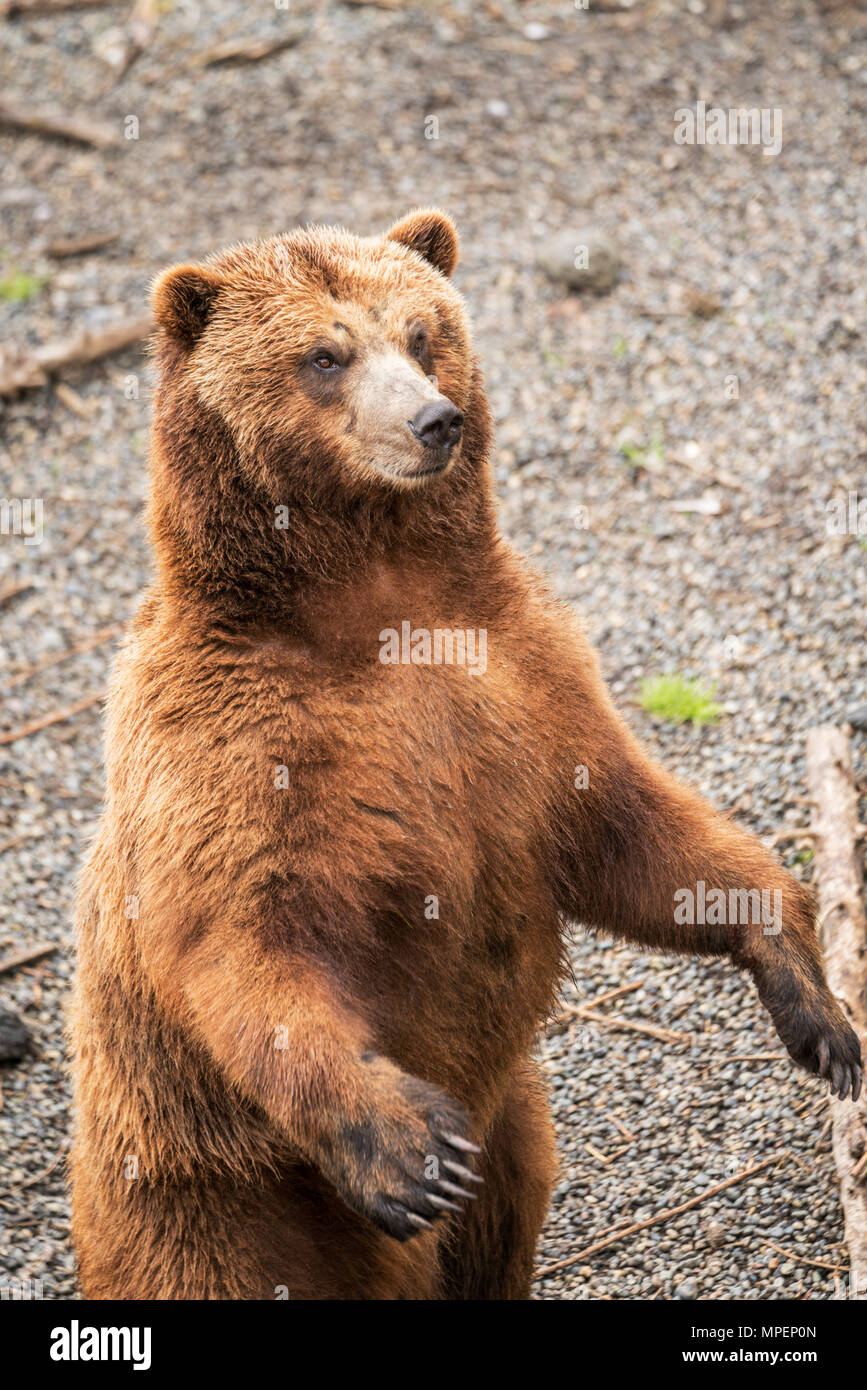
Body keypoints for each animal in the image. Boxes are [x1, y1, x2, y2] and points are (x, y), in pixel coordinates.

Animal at [71, 211, 861, 1295]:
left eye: (420, 333)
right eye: (324, 354)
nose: (432, 421)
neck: (377, 603)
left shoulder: (521, 683)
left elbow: (632, 831)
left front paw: (813, 1003)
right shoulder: (227, 743)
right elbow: (241, 934)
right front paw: (406, 1149)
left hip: (513, 1120)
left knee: (501, 1223)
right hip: (211, 1193)